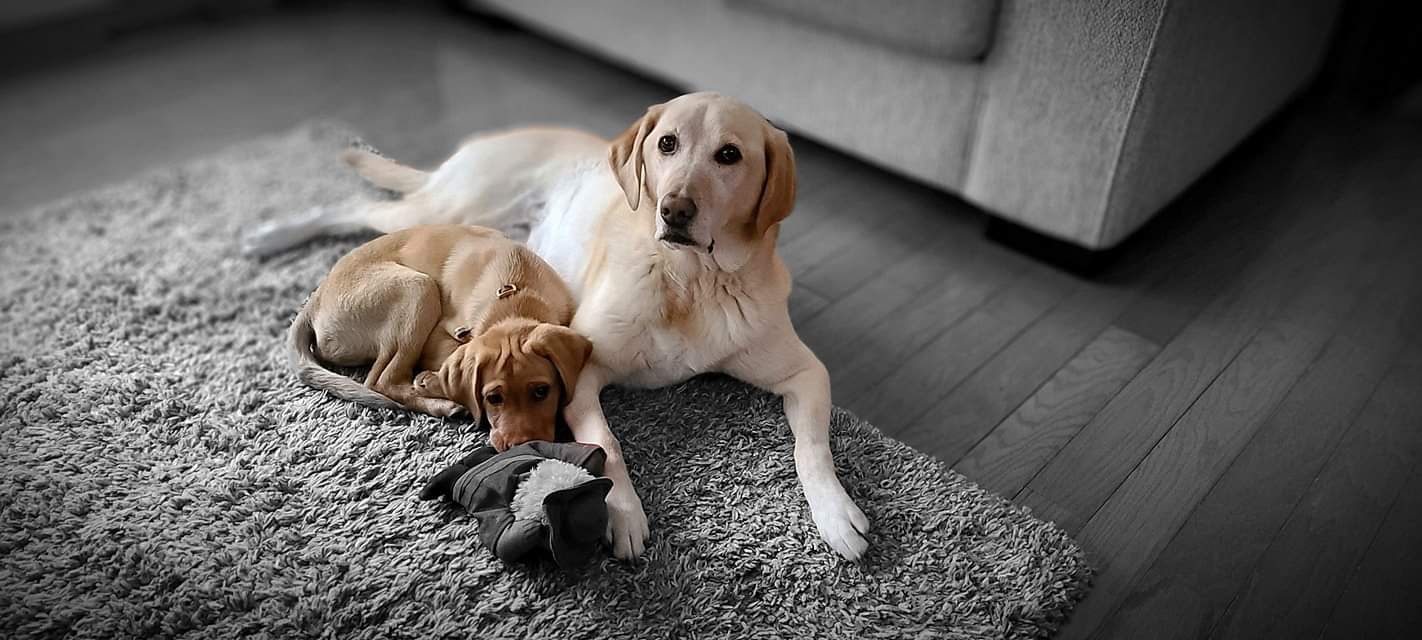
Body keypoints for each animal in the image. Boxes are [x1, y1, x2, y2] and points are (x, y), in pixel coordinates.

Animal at [287, 224, 592, 451]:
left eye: (542, 391)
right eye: (493, 398)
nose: (522, 446)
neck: (515, 296)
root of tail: (314, 299)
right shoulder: (440, 338)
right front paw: (432, 381)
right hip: (418, 288)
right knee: (381, 380)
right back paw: (442, 404)